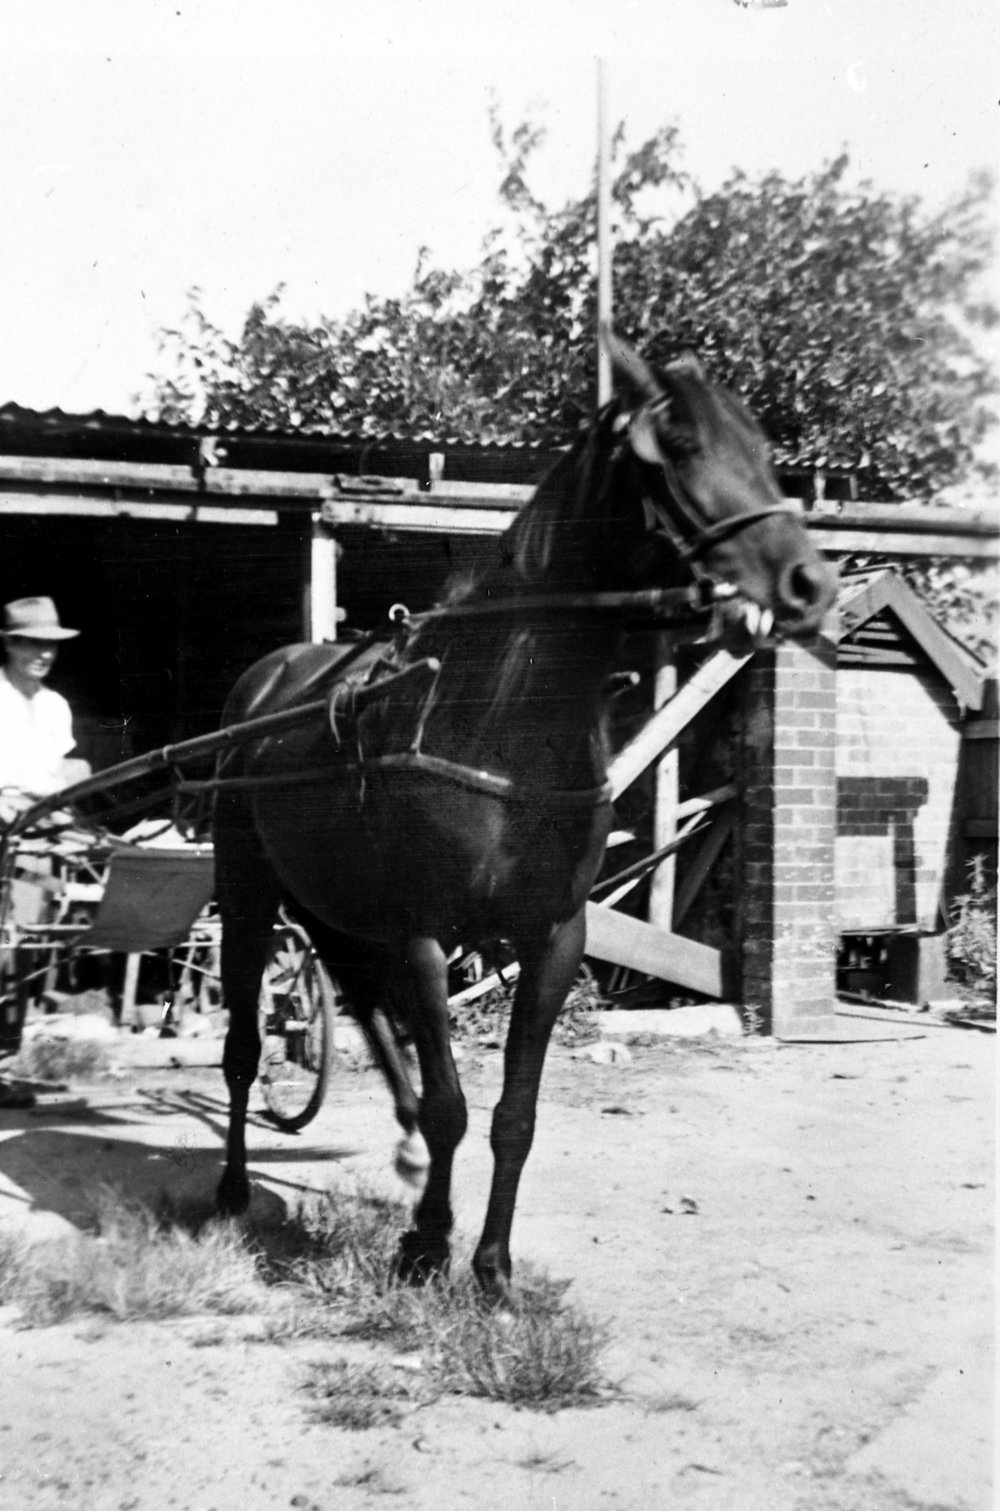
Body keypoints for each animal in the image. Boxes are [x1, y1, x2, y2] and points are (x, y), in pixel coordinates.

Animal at [212, 333, 837, 1303]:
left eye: (765, 448)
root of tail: (265, 683)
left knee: (361, 1009)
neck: (499, 720)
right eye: (681, 444)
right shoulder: (425, 934)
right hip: (248, 897)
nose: (809, 582)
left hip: (340, 910)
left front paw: (491, 1265)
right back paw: (236, 1188)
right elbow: (451, 1104)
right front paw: (427, 1246)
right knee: (244, 1048)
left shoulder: (553, 935)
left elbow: (515, 1113)